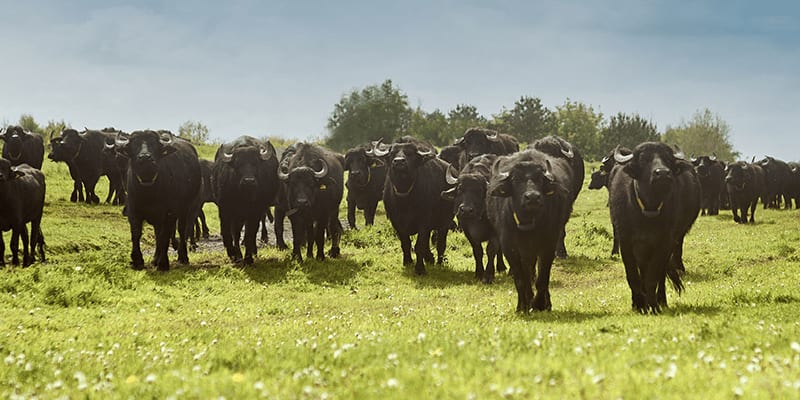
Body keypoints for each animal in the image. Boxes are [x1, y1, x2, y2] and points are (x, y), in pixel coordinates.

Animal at [115, 130, 202, 271]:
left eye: (154, 145)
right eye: (135, 144)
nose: (145, 157)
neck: (149, 191)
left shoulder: (169, 213)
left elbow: (164, 236)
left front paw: (163, 263)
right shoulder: (133, 211)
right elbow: (136, 233)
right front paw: (137, 260)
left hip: (186, 209)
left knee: (182, 230)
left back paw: (182, 257)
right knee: (157, 233)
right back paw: (155, 258)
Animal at [379, 141, 455, 275]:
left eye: (410, 154)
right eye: (392, 153)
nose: (399, 162)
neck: (405, 201)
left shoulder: (424, 222)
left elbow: (419, 245)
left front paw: (420, 269)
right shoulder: (396, 222)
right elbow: (406, 243)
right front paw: (407, 261)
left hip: (445, 222)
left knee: (441, 244)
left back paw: (439, 262)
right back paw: (429, 258)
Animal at [441, 154, 505, 283]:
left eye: (479, 191)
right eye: (460, 189)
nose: (466, 210)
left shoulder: (495, 232)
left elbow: (491, 250)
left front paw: (488, 275)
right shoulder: (468, 232)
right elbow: (477, 251)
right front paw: (479, 273)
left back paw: (501, 267)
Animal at [486, 140, 581, 312]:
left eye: (540, 179)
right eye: (515, 180)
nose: (532, 197)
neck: (528, 224)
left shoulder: (548, 245)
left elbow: (542, 277)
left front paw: (540, 304)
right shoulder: (510, 247)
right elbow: (520, 279)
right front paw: (522, 305)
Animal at [609, 142, 701, 314]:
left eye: (667, 159)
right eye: (644, 159)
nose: (663, 173)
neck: (647, 212)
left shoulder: (665, 243)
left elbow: (653, 277)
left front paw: (652, 305)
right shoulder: (626, 243)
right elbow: (633, 276)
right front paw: (638, 304)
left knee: (660, 274)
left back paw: (661, 300)